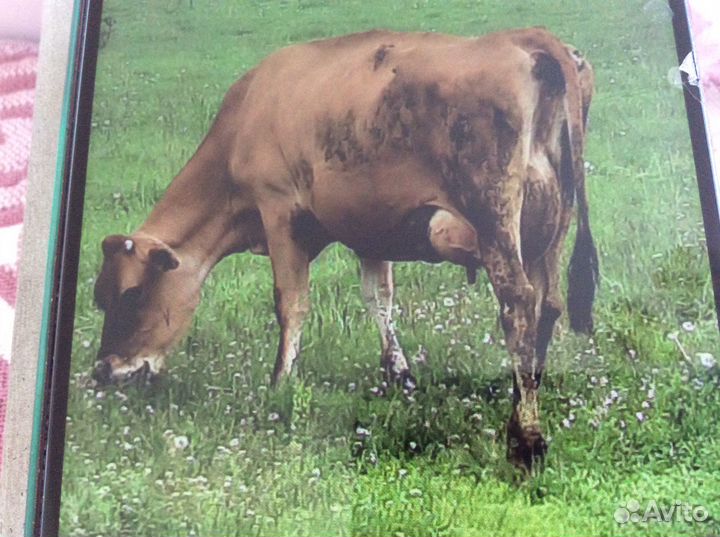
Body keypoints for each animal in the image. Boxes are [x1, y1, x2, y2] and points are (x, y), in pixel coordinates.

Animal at [92, 27, 598, 469]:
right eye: (99, 298)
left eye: (132, 295)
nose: (102, 372)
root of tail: (525, 38)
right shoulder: (371, 228)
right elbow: (380, 300)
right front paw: (398, 375)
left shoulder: (278, 210)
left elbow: (290, 303)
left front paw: (280, 387)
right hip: (552, 224)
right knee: (548, 304)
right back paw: (526, 394)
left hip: (494, 217)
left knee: (518, 304)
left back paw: (525, 439)